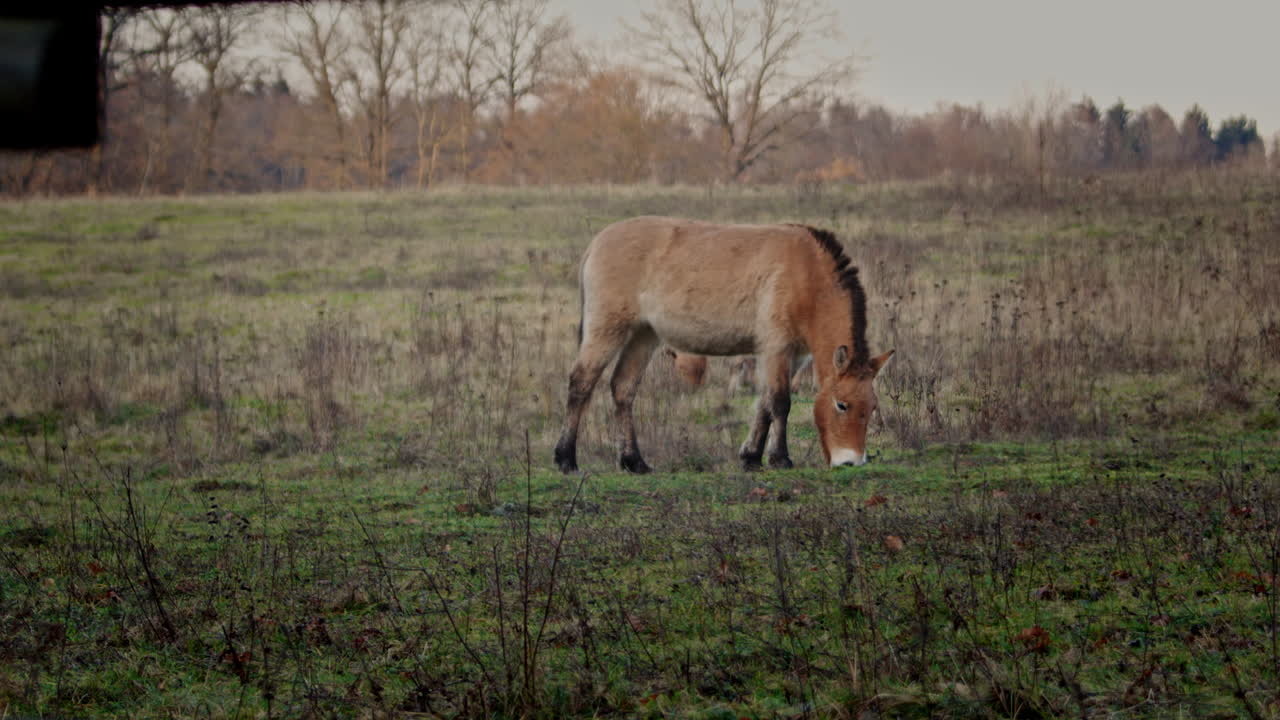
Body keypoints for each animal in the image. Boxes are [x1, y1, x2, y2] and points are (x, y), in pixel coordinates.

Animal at [553, 217, 893, 473]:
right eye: (841, 404)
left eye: (872, 407)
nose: (851, 462)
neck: (806, 270)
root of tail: (597, 243)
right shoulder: (776, 349)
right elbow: (780, 402)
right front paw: (779, 458)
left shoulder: (792, 356)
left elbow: (764, 403)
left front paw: (751, 456)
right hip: (606, 331)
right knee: (581, 384)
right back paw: (566, 459)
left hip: (643, 335)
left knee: (623, 389)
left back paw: (634, 462)